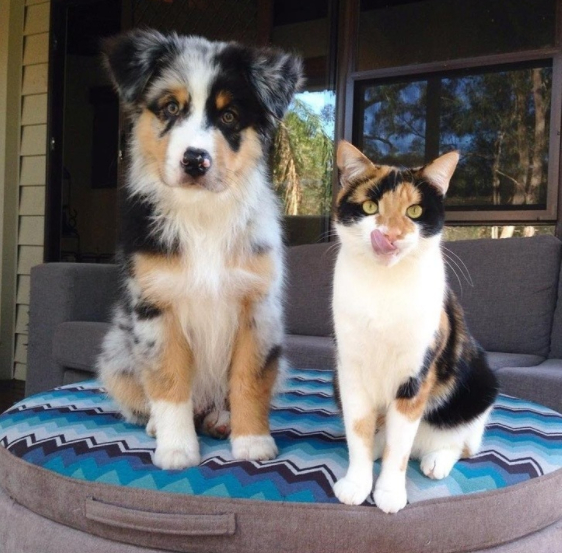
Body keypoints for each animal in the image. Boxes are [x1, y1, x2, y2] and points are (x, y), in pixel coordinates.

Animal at [95, 30, 302, 468]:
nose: (195, 161)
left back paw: (221, 419)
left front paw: (252, 442)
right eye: (170, 108)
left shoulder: (258, 307)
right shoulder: (156, 309)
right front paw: (176, 449)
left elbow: (249, 380)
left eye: (229, 117)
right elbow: (170, 381)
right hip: (115, 355)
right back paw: (157, 426)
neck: (202, 212)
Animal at [330, 141, 496, 512]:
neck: (384, 287)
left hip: (480, 386)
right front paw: (357, 484)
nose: (389, 236)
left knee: (464, 443)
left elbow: (400, 447)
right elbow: (358, 430)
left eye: (415, 211)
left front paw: (390, 493)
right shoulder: (350, 368)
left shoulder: (416, 374)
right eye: (370, 207)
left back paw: (437, 460)